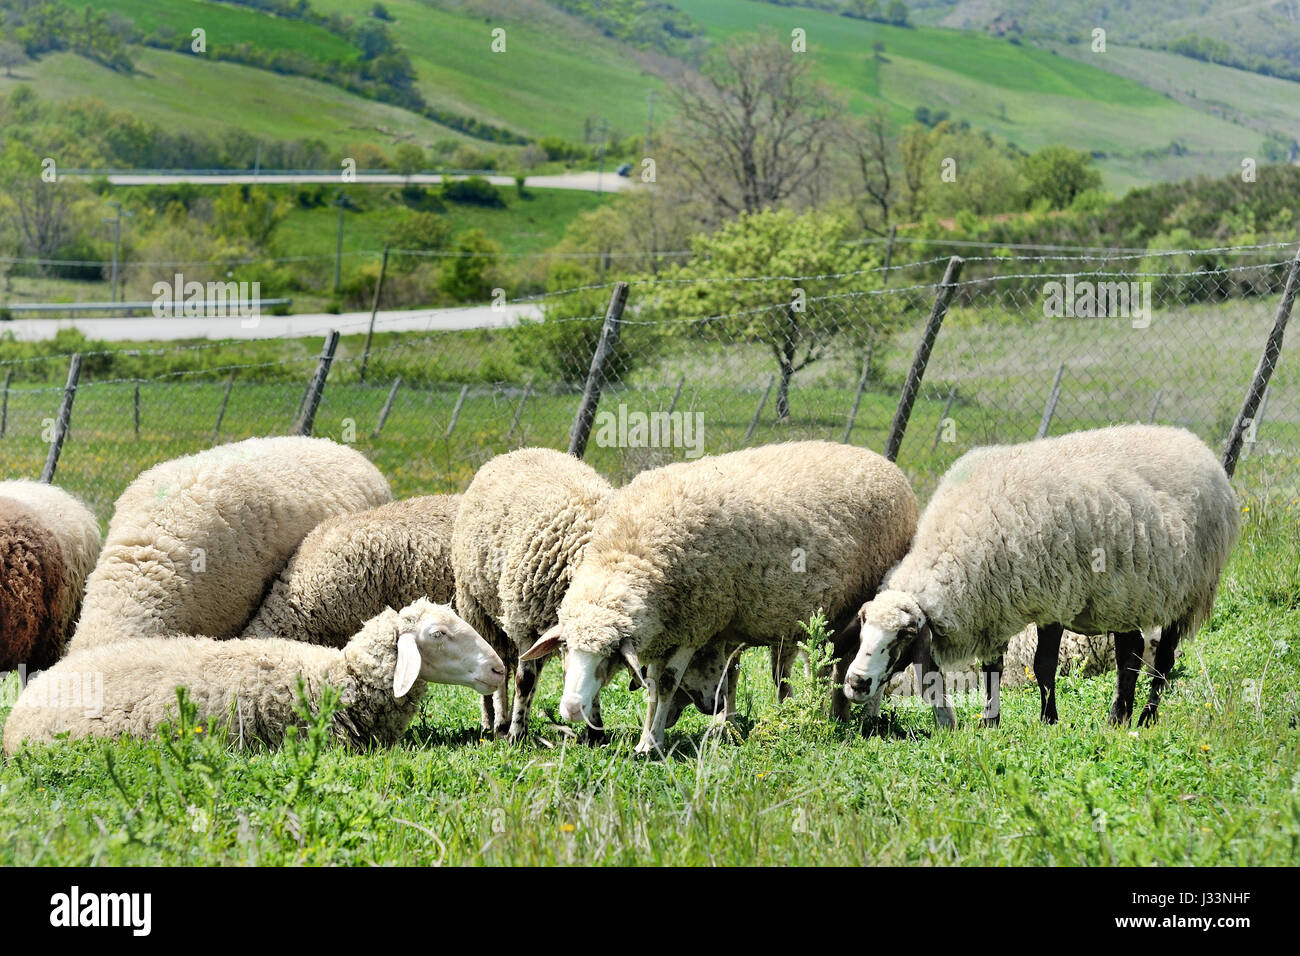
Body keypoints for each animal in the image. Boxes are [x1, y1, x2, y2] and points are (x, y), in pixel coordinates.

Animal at [452, 448, 614, 742]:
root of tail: (517, 451)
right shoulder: (525, 624)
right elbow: (524, 682)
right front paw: (516, 735)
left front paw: (596, 733)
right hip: (479, 611)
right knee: (498, 671)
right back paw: (495, 722)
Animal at [523, 440, 919, 754]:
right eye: (564, 650)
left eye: (607, 657)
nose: (571, 709)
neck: (632, 552)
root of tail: (886, 465)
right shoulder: (669, 629)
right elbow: (655, 685)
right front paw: (648, 737)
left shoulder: (695, 624)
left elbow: (666, 684)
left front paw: (650, 746)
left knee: (852, 660)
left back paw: (848, 717)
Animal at [843, 425, 1239, 728]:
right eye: (862, 632)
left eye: (900, 638)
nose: (856, 683)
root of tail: (1193, 443)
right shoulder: (994, 606)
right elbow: (992, 668)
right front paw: (990, 722)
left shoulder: (1053, 600)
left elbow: (1043, 667)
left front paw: (1048, 720)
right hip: (1124, 597)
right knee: (1129, 655)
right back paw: (1117, 718)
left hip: (1186, 592)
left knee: (1164, 659)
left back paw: (1145, 717)